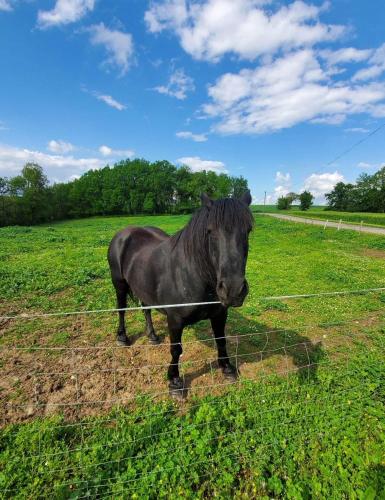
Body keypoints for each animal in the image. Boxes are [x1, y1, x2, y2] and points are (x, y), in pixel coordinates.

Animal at [106, 192, 254, 398]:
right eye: (210, 231)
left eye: (248, 230)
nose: (233, 290)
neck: (193, 274)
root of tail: (123, 234)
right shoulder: (175, 319)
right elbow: (176, 349)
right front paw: (174, 381)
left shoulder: (220, 314)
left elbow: (221, 340)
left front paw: (227, 368)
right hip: (119, 284)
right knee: (121, 309)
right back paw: (122, 338)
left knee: (146, 309)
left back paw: (152, 336)